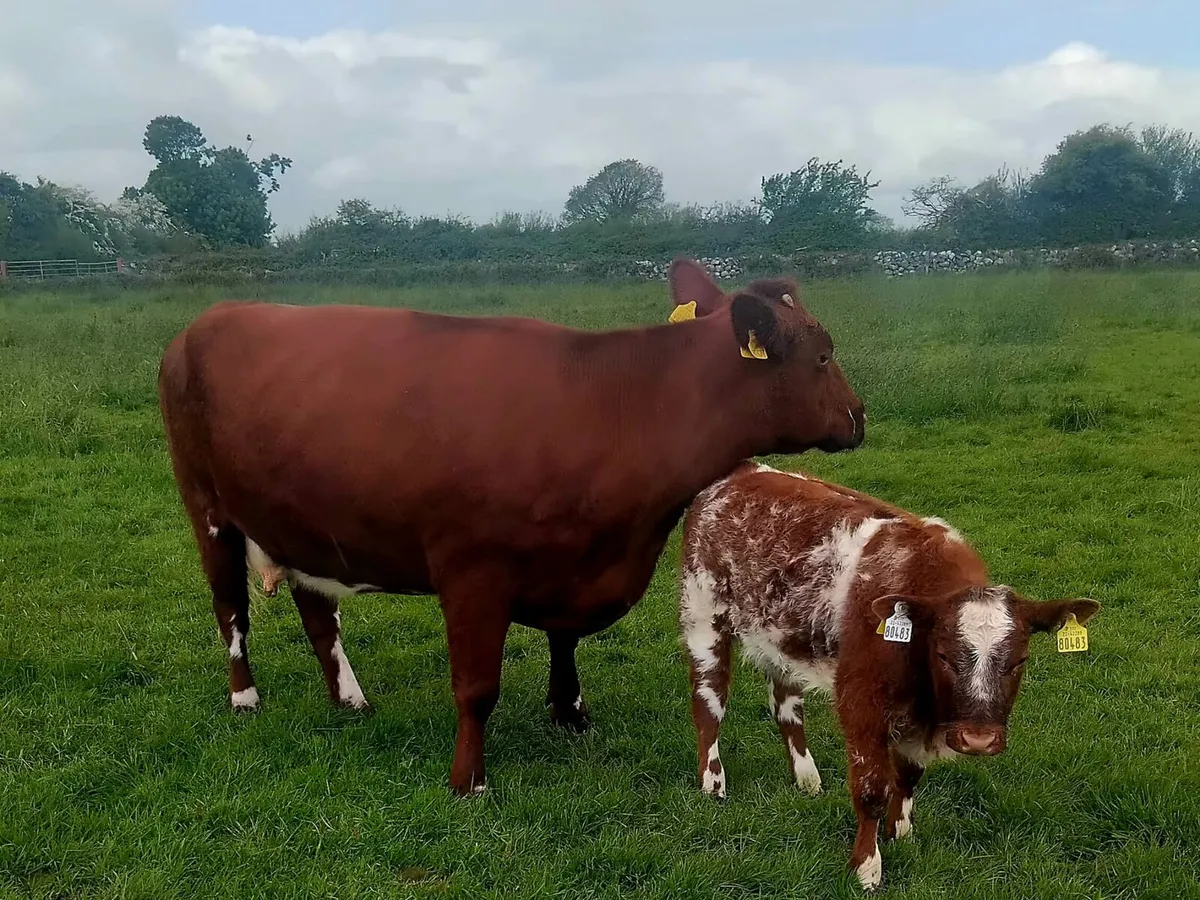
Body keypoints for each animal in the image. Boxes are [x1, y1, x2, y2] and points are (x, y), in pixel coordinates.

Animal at [156, 257, 866, 797]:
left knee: (316, 609)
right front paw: (468, 778)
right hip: (207, 507)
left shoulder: (570, 559)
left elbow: (564, 640)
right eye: (823, 355)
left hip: (302, 519)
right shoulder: (473, 571)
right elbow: (476, 687)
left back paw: (349, 698)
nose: (860, 416)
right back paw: (245, 697)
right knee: (229, 605)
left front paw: (569, 711)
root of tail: (205, 320)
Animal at [678, 461, 1099, 890]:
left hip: (779, 638)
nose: (978, 739)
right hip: (703, 617)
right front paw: (867, 866)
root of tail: (745, 470)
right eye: (943, 655)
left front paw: (900, 830)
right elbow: (871, 790)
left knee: (786, 707)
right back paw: (713, 782)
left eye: (1019, 660)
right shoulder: (861, 705)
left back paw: (807, 778)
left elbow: (909, 775)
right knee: (709, 700)